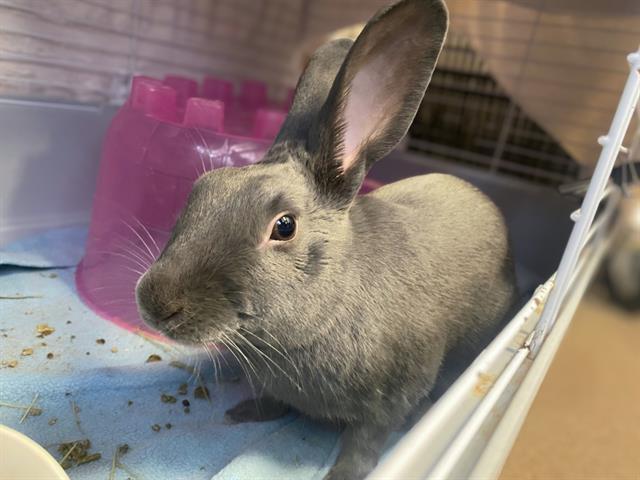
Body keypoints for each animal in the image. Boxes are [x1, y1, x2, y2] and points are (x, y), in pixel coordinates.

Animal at [135, 0, 518, 478]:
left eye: (284, 226)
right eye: (202, 187)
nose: (155, 303)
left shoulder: (391, 399)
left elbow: (364, 442)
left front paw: (344, 473)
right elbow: (273, 402)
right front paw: (241, 414)